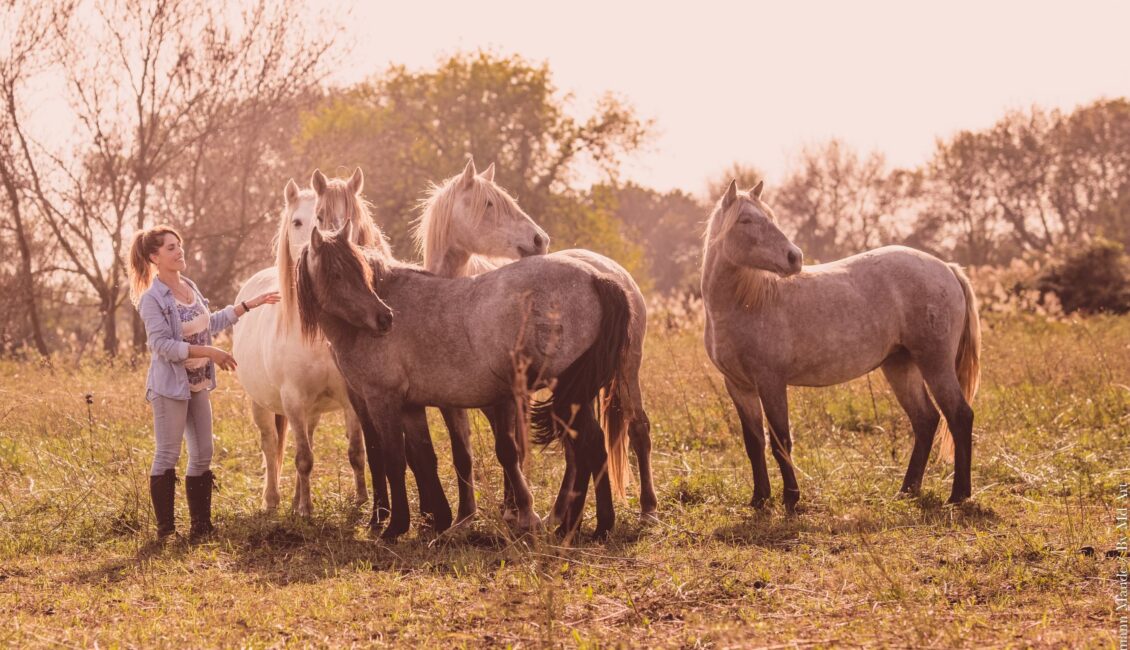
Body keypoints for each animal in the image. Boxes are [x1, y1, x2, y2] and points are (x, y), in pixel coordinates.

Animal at [232, 170, 384, 515]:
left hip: (311, 409)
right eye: (299, 221)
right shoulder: (292, 400)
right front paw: (305, 510)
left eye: (349, 219)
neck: (317, 336)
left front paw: (360, 501)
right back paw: (273, 500)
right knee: (270, 445)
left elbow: (355, 452)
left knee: (308, 439)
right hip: (261, 404)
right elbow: (301, 459)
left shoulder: (349, 398)